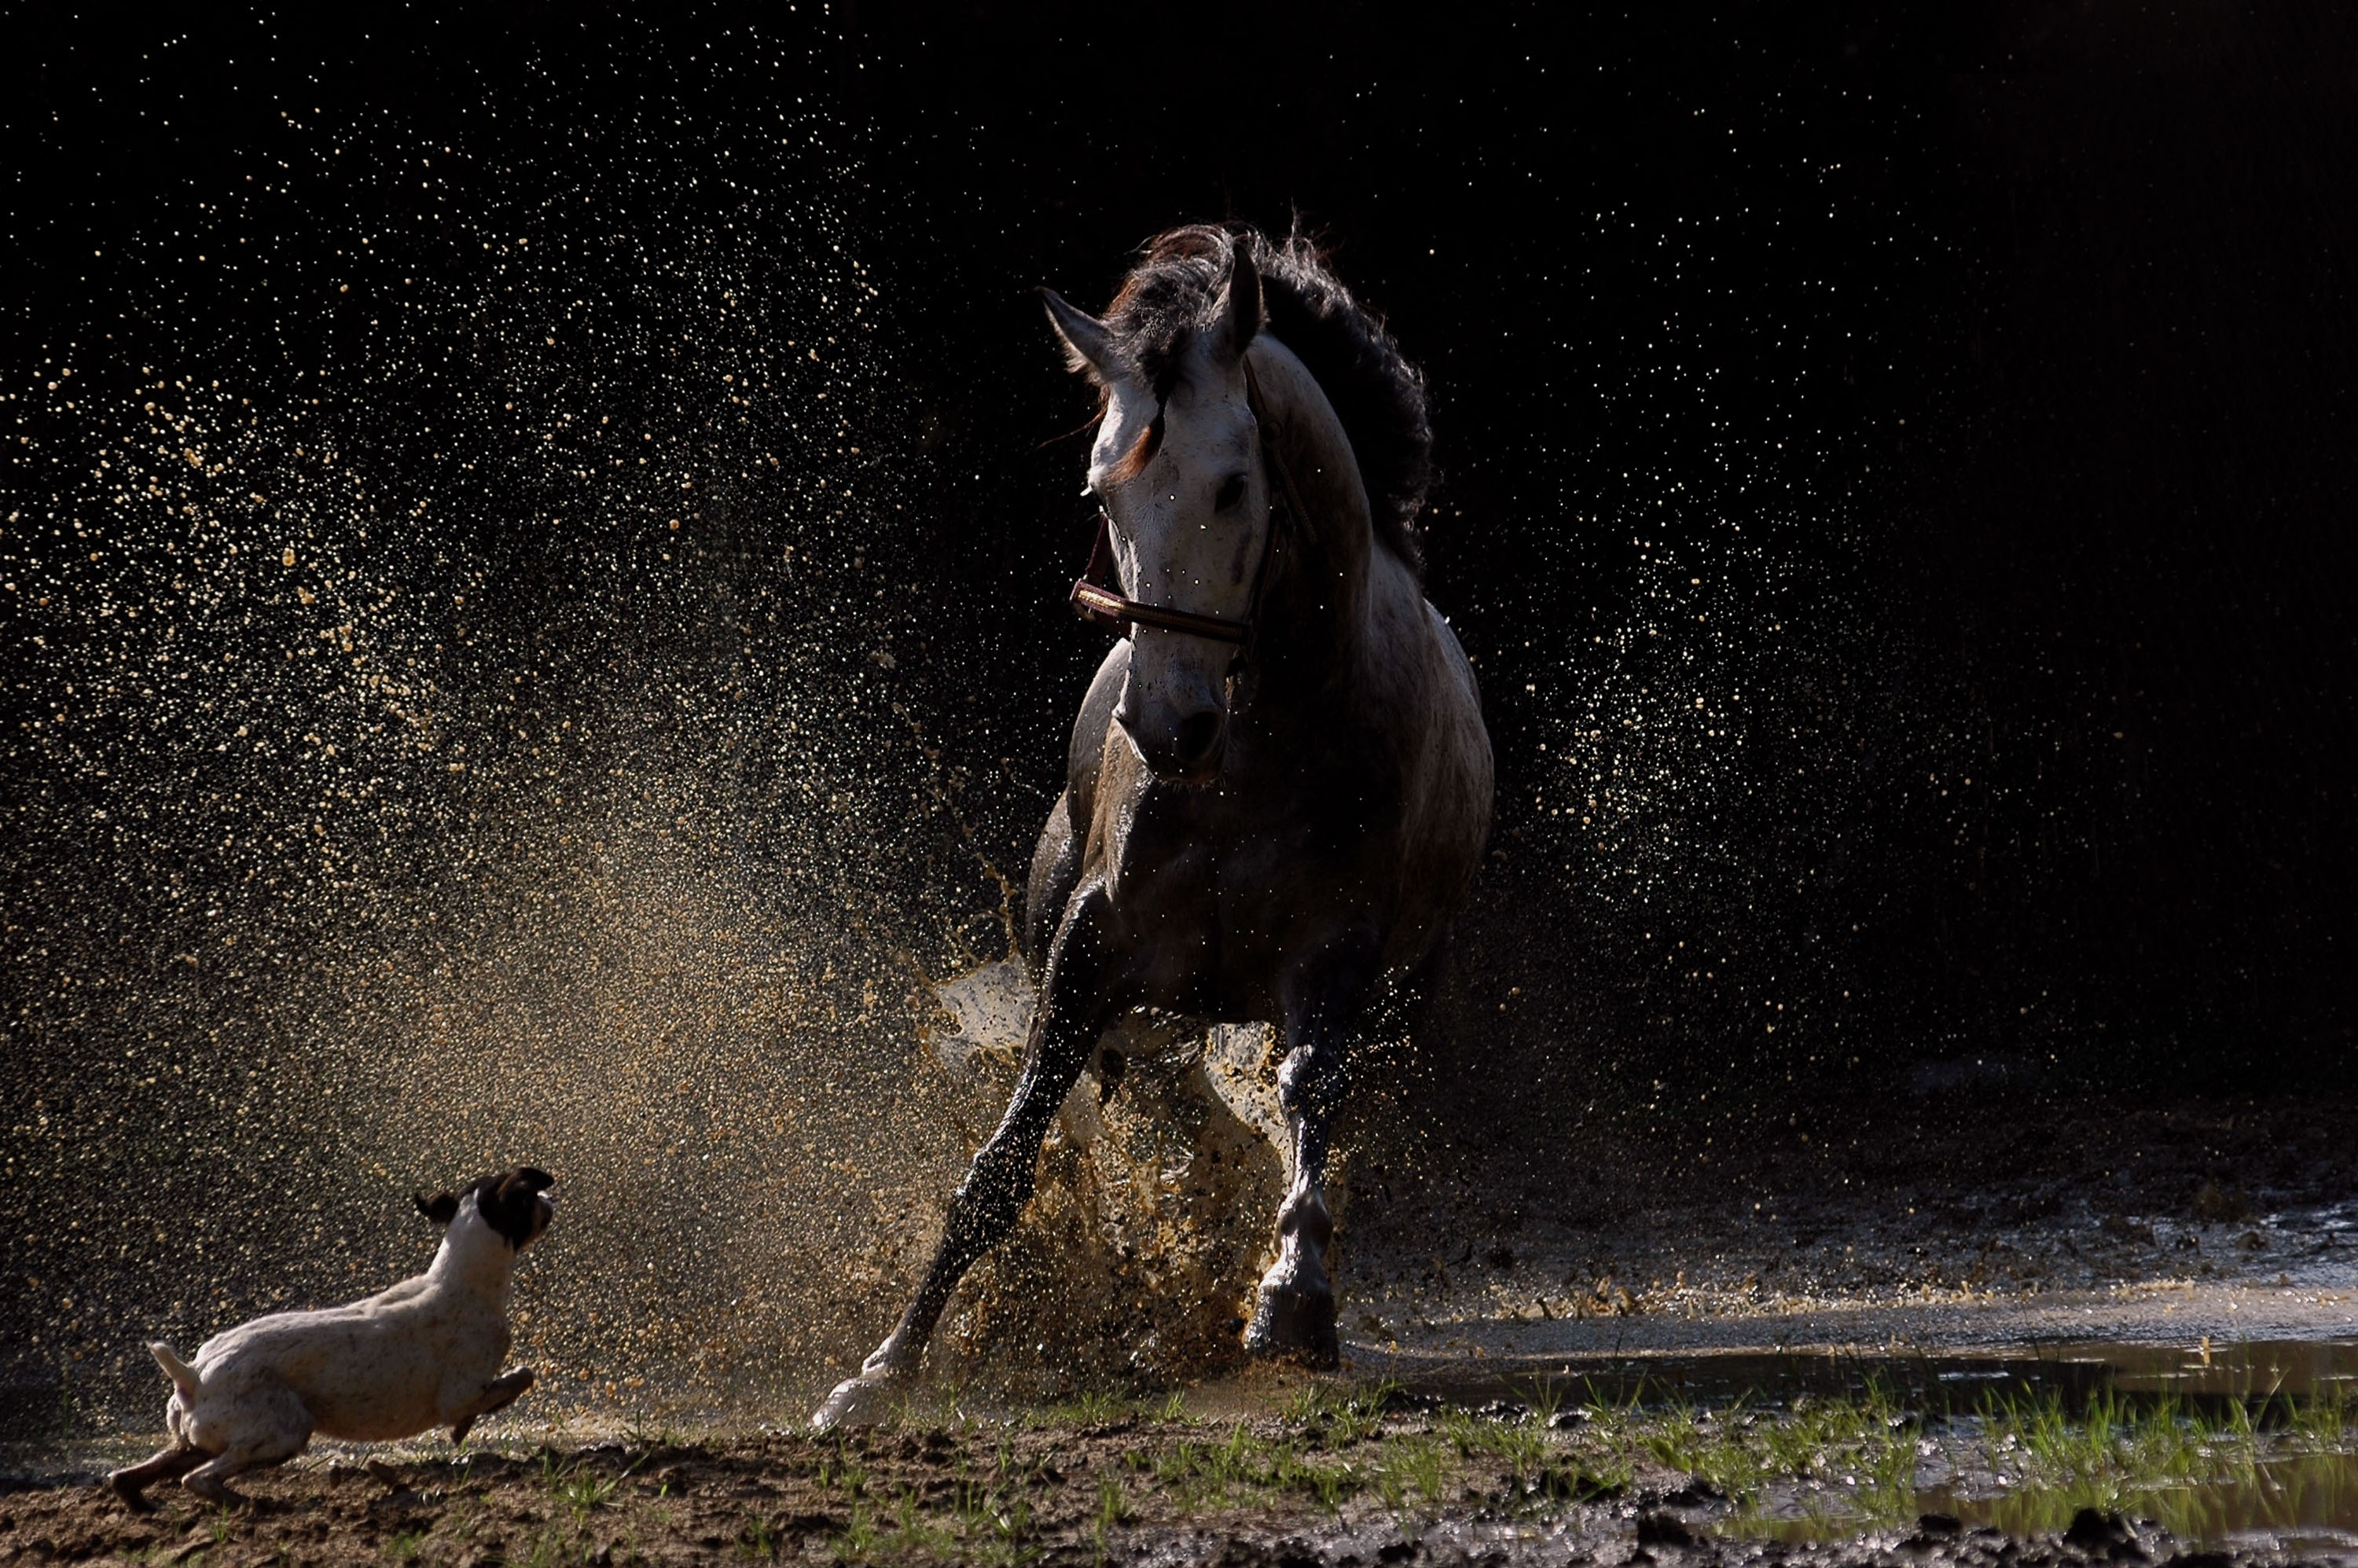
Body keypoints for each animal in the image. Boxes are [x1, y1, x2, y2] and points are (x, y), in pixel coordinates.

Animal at [109, 1160, 556, 1509]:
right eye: (529, 1199)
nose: (550, 1202)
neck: (460, 1280)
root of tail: (193, 1375)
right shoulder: (461, 1392)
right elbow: (519, 1378)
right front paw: (465, 1427)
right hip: (283, 1431)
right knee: (199, 1479)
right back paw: (250, 1505)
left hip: (194, 1442)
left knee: (129, 1477)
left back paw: (145, 1505)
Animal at [811, 222, 1490, 1434]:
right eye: (1103, 493)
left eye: (1234, 483)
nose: (1168, 724)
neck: (1261, 745)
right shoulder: (1092, 943)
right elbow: (1005, 1157)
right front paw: (885, 1366)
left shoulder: (1337, 954)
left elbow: (1306, 1095)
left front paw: (1293, 1301)